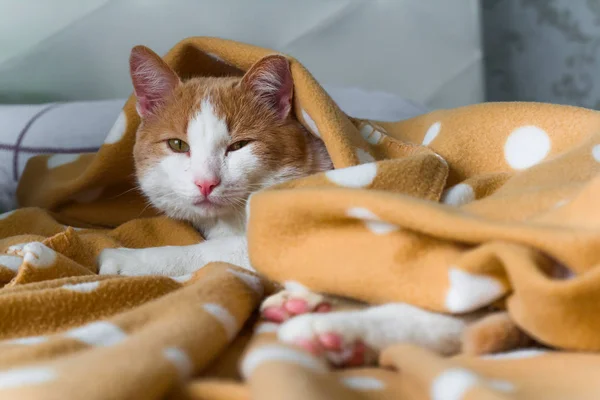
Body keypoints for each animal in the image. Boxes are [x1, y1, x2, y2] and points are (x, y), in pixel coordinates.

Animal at [97, 45, 528, 368]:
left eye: (239, 145)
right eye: (177, 145)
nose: (206, 182)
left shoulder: (290, 219)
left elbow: (210, 252)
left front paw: (130, 260)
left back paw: (327, 332)